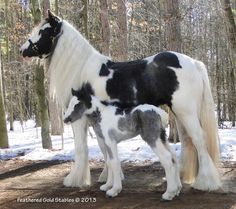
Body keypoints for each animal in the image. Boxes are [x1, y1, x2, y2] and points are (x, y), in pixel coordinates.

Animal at [20, 11, 221, 191]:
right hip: (179, 113)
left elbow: (81, 148)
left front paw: (75, 180)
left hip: (186, 111)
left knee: (199, 139)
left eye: (43, 31)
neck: (81, 69)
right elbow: (104, 150)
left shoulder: (80, 118)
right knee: (188, 141)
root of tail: (193, 62)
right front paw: (107, 179)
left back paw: (205, 182)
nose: (22, 50)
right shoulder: (97, 122)